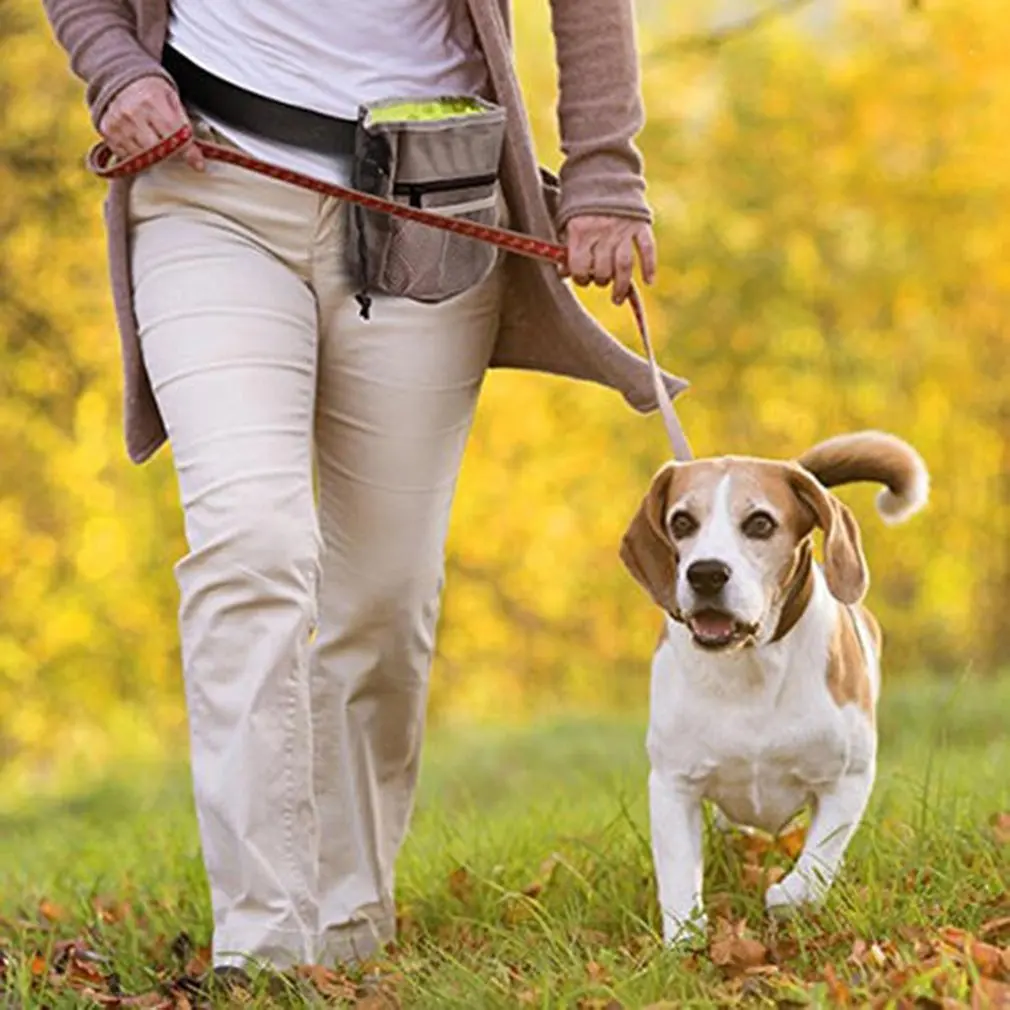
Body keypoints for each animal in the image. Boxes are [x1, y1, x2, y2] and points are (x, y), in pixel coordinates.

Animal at [622, 430, 929, 941]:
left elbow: (817, 863)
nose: (706, 573)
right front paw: (684, 940)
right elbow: (679, 873)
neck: (750, 665)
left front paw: (785, 897)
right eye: (681, 521)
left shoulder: (848, 778)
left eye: (760, 523)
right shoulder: (672, 783)